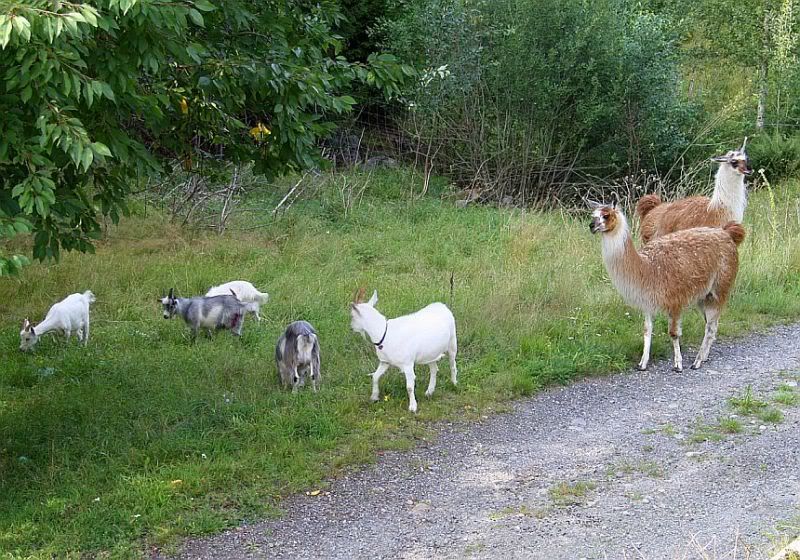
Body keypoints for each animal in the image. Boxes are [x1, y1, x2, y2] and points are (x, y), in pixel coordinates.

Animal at [590, 204, 744, 372]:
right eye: (593, 215)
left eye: (606, 215)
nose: (591, 226)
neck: (647, 268)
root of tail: (725, 233)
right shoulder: (648, 301)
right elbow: (647, 330)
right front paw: (643, 363)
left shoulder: (675, 299)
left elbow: (673, 333)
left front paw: (678, 364)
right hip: (704, 295)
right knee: (713, 325)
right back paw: (704, 357)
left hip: (720, 287)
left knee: (710, 327)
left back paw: (697, 362)